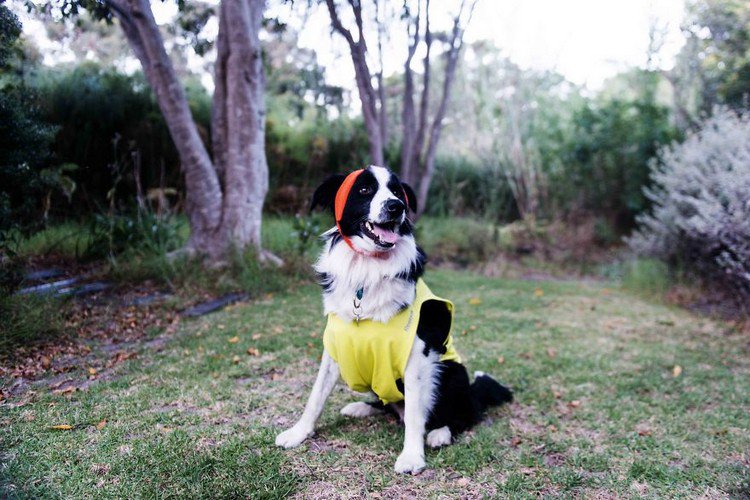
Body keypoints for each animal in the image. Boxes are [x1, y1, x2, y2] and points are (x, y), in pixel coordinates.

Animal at [276, 167, 516, 472]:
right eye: (364, 190)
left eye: (397, 191)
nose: (396, 206)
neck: (368, 268)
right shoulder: (334, 348)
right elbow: (316, 395)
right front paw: (298, 432)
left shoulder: (417, 355)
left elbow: (415, 413)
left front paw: (412, 456)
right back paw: (361, 407)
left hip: (451, 371)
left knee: (464, 414)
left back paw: (440, 432)